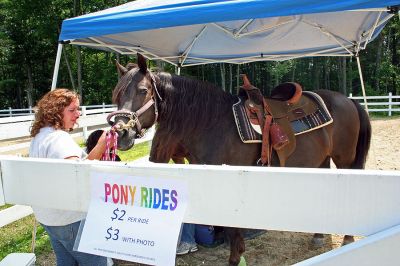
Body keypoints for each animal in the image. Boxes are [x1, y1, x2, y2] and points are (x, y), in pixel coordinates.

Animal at [108, 54, 372, 266]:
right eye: (116, 93)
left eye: (143, 91)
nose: (121, 133)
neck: (212, 123)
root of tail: (348, 100)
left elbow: (233, 227)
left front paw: (236, 258)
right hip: (321, 161)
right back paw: (318, 236)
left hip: (345, 159)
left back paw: (348, 239)